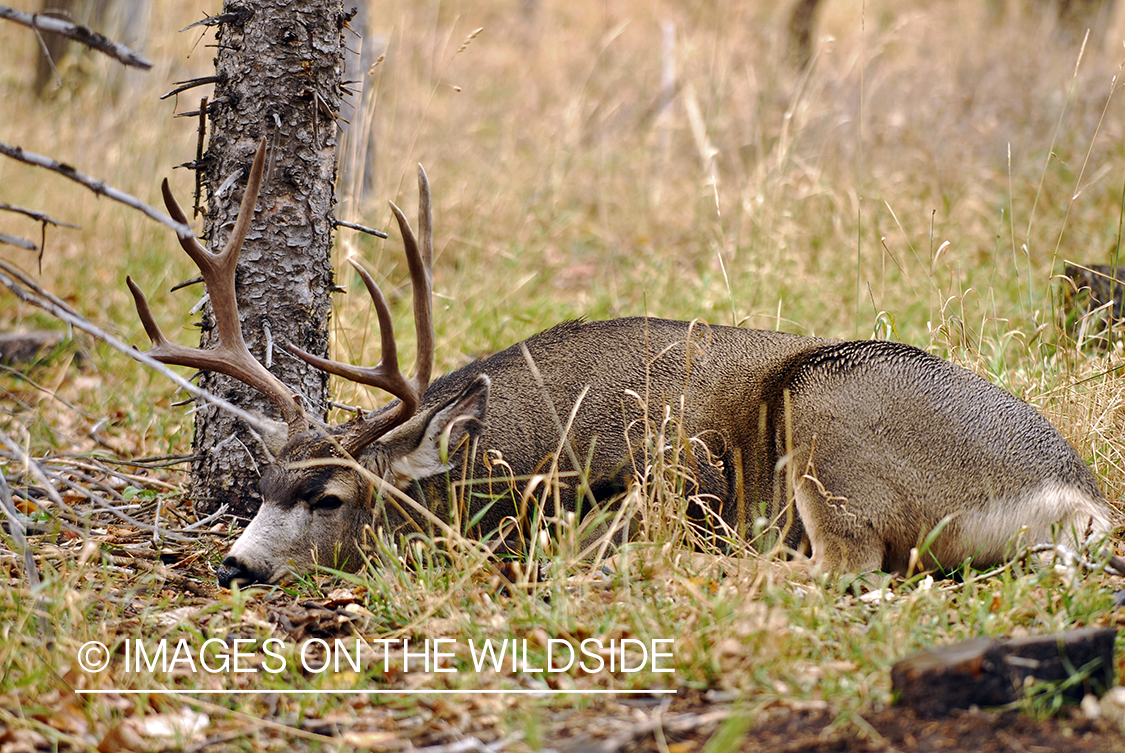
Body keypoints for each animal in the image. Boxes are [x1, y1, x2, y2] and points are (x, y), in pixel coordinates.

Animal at [128, 140, 1118, 588]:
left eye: (329, 497)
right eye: (263, 486)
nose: (237, 566)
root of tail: (1074, 496)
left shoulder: (661, 476)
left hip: (828, 403)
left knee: (847, 565)